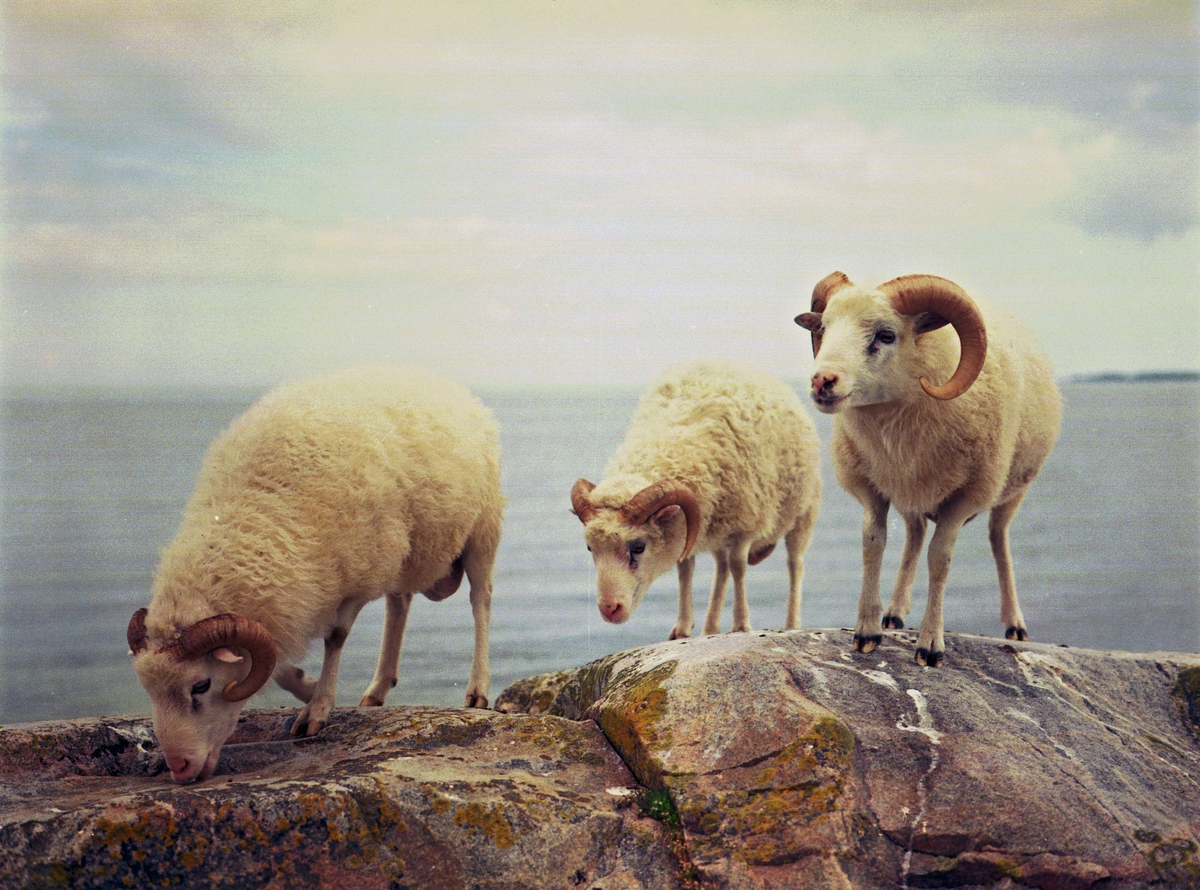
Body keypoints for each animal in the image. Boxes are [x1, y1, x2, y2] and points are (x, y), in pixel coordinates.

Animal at [121, 367, 496, 782]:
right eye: (148, 690)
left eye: (200, 686)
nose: (178, 767)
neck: (253, 509)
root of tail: (438, 379)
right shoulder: (292, 597)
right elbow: (275, 666)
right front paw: (307, 684)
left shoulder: (353, 577)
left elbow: (335, 637)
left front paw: (317, 708)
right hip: (405, 552)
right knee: (399, 604)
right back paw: (378, 689)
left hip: (483, 527)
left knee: (480, 599)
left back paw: (477, 690)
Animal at [571, 359, 825, 642]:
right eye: (590, 548)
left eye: (638, 547)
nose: (609, 609)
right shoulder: (690, 525)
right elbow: (686, 571)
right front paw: (682, 628)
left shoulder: (746, 521)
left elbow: (739, 566)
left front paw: (741, 624)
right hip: (717, 524)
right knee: (721, 568)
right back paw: (711, 627)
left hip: (804, 509)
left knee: (794, 563)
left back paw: (792, 623)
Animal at [796, 272, 1060, 671]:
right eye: (824, 328)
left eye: (886, 335)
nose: (821, 381)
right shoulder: (873, 487)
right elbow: (873, 544)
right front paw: (867, 632)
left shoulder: (965, 497)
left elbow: (940, 559)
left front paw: (931, 645)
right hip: (911, 492)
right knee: (915, 534)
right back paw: (894, 611)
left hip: (1012, 488)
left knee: (998, 537)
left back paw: (1014, 623)